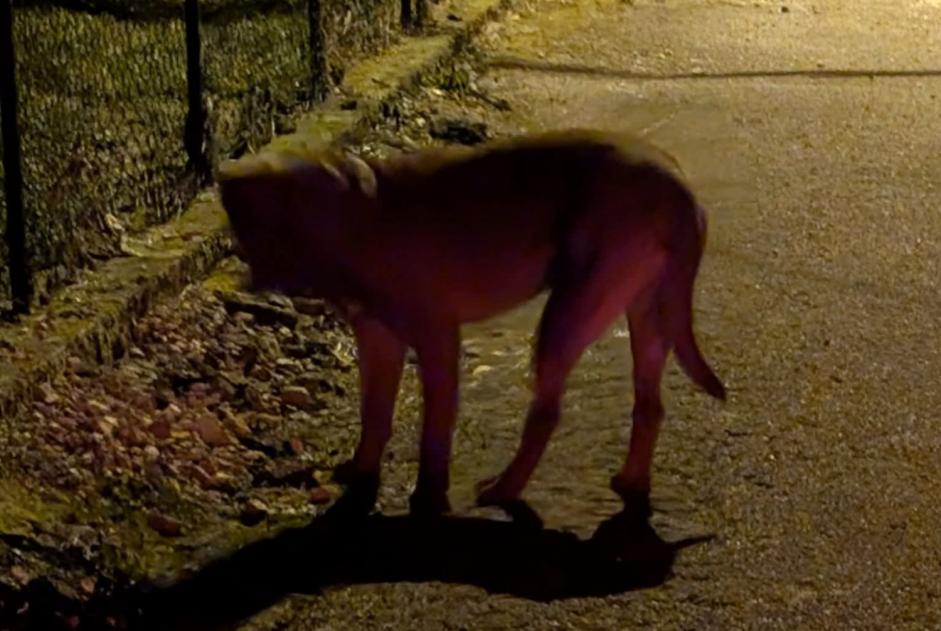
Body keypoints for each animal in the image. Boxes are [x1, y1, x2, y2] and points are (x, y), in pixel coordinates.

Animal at [217, 128, 724, 520]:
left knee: (546, 413)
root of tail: (683, 190)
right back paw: (630, 481)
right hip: (646, 317)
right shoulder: (377, 341)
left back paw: (504, 489)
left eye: (279, 223)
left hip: (568, 314)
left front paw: (428, 496)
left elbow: (434, 430)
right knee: (649, 407)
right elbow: (375, 414)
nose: (256, 284)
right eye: (251, 227)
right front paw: (362, 471)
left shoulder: (436, 337)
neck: (358, 218)